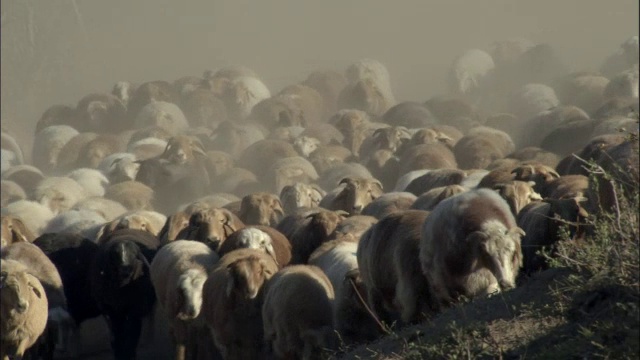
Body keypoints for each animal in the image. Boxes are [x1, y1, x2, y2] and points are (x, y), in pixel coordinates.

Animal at [89, 229, 159, 358]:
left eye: (133, 254)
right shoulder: (110, 310)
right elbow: (117, 334)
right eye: (115, 254)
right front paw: (119, 353)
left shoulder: (135, 309)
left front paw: (129, 353)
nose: (125, 270)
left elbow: (132, 334)